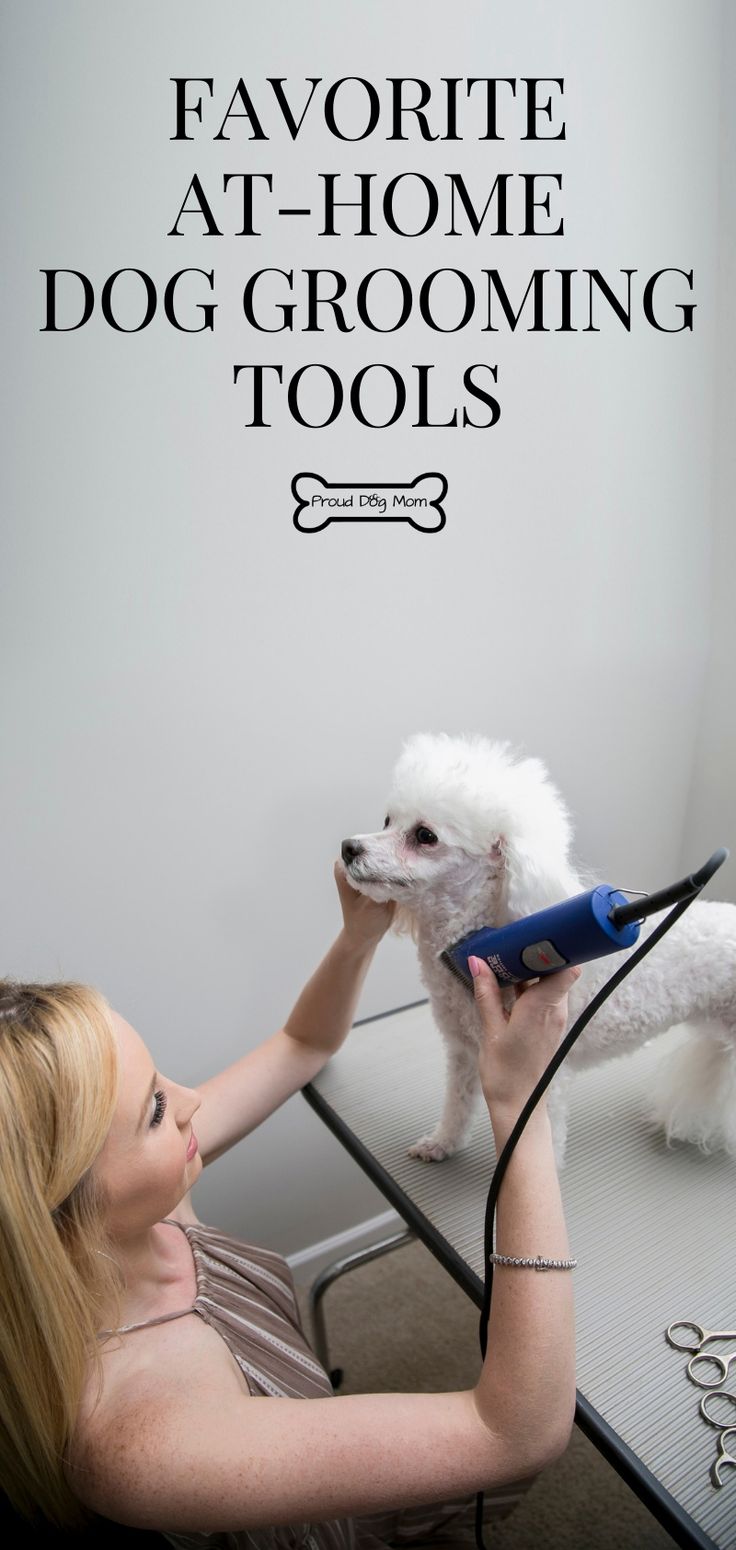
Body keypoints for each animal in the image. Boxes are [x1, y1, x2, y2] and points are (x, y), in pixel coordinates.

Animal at [340, 734, 736, 1165]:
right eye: (387, 822)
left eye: (425, 835)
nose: (348, 847)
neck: (464, 939)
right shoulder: (464, 1053)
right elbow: (457, 1104)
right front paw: (441, 1143)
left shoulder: (543, 1075)